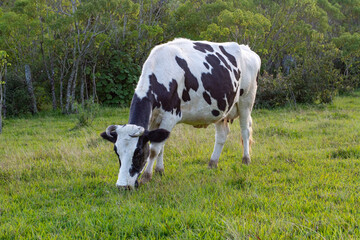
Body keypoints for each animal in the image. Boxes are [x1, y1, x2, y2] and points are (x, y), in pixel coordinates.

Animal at [100, 38, 260, 189]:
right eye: (116, 152)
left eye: (138, 152)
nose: (122, 186)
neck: (161, 71)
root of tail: (247, 49)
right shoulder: (154, 120)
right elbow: (160, 146)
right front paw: (159, 171)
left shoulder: (170, 116)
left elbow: (154, 149)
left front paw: (146, 176)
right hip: (222, 108)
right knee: (222, 135)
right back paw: (212, 163)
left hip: (246, 101)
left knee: (245, 131)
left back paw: (246, 159)